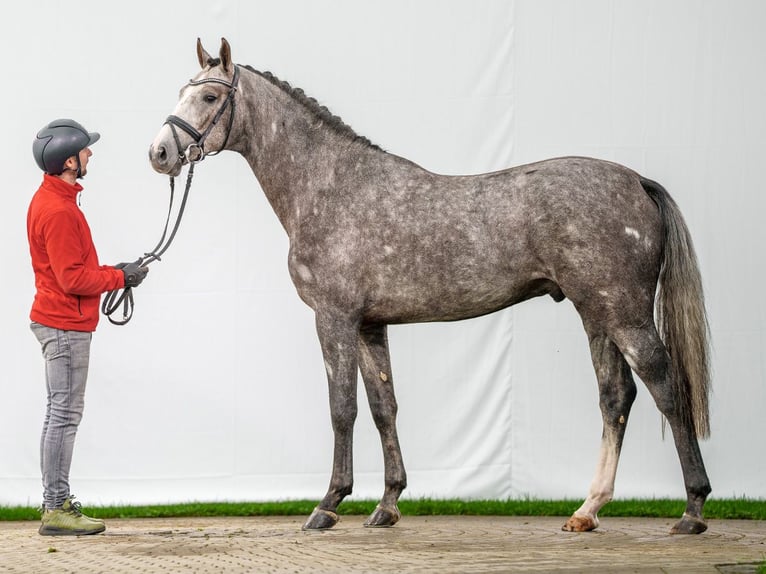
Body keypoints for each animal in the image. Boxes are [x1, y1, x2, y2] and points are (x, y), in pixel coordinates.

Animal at [148, 39, 712, 536]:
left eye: (210, 96)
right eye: (182, 90)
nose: (159, 152)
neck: (330, 187)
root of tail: (637, 181)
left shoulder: (334, 318)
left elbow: (342, 408)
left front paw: (328, 505)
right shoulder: (370, 325)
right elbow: (383, 408)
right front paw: (387, 505)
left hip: (625, 314)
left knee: (666, 387)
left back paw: (692, 510)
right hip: (596, 314)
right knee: (615, 397)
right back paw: (588, 510)